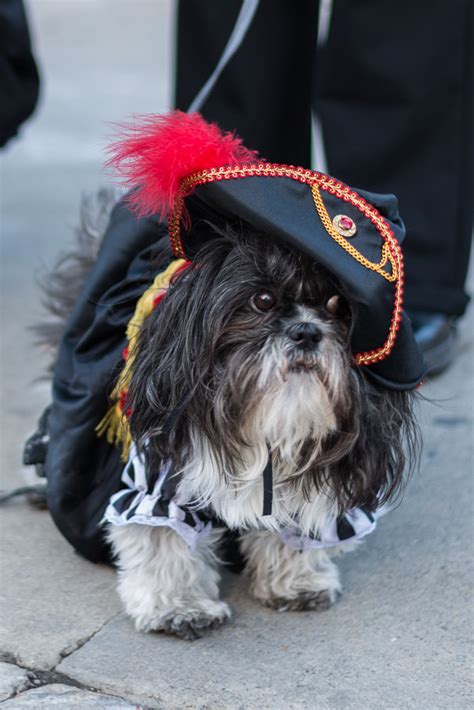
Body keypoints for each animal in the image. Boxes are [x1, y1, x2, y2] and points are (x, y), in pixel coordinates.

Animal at [27, 114, 424, 644]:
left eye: (338, 307)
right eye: (261, 300)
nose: (306, 331)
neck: (264, 422)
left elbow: (293, 528)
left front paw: (295, 580)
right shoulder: (157, 481)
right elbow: (161, 543)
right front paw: (179, 607)